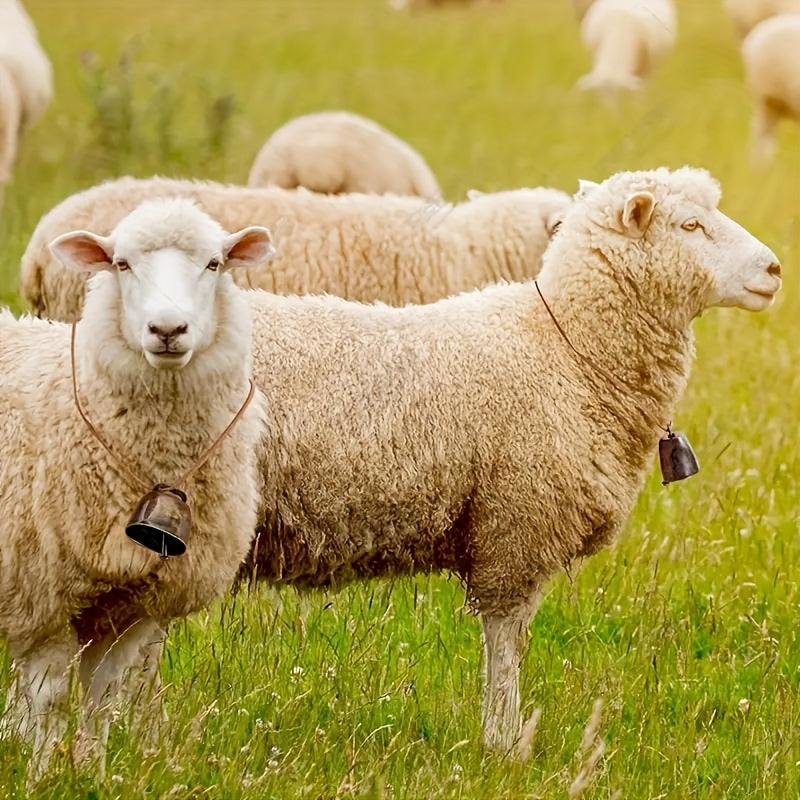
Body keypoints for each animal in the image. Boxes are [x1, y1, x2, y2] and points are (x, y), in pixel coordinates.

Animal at [0, 197, 273, 778]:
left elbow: (102, 702)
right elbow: (48, 703)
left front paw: (92, 773)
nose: (167, 329)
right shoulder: (41, 596)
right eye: (121, 264)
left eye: (214, 263)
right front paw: (42, 776)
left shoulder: (131, 609)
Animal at [240, 166, 781, 754]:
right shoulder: (517, 525)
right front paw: (503, 742)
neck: (567, 350)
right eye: (690, 225)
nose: (775, 269)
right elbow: (506, 643)